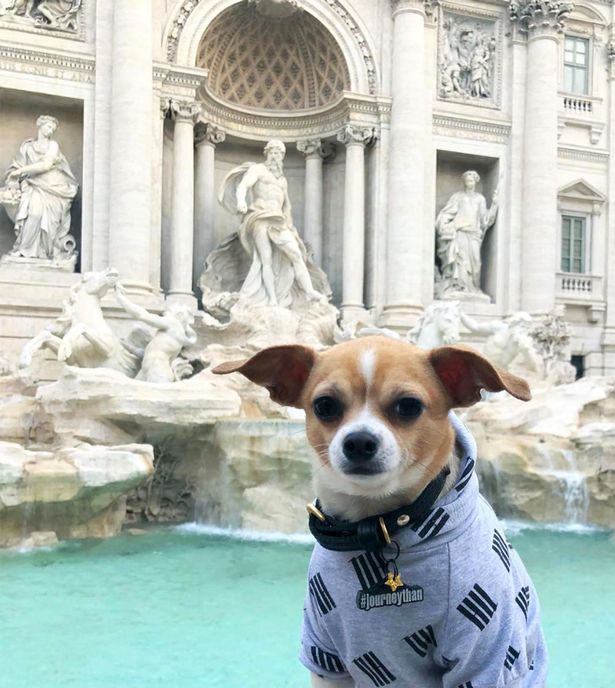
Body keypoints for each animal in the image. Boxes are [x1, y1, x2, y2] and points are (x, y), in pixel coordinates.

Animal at [215, 336, 548, 684]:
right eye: (325, 405)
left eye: (409, 406)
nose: (359, 441)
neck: (377, 522)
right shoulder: (325, 656)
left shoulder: (487, 655)